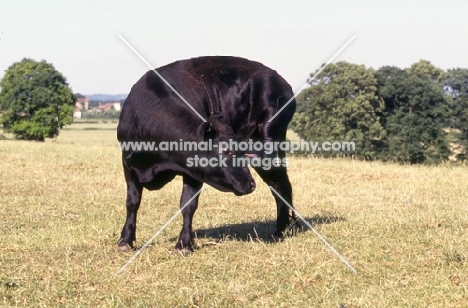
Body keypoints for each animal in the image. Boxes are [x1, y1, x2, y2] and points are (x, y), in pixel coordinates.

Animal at [118, 55, 300, 253]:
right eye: (227, 151)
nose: (250, 184)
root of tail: (280, 81)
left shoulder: (194, 172)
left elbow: (188, 205)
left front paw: (184, 244)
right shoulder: (128, 165)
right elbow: (132, 202)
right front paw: (125, 241)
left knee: (280, 184)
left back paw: (281, 230)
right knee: (279, 184)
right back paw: (282, 229)